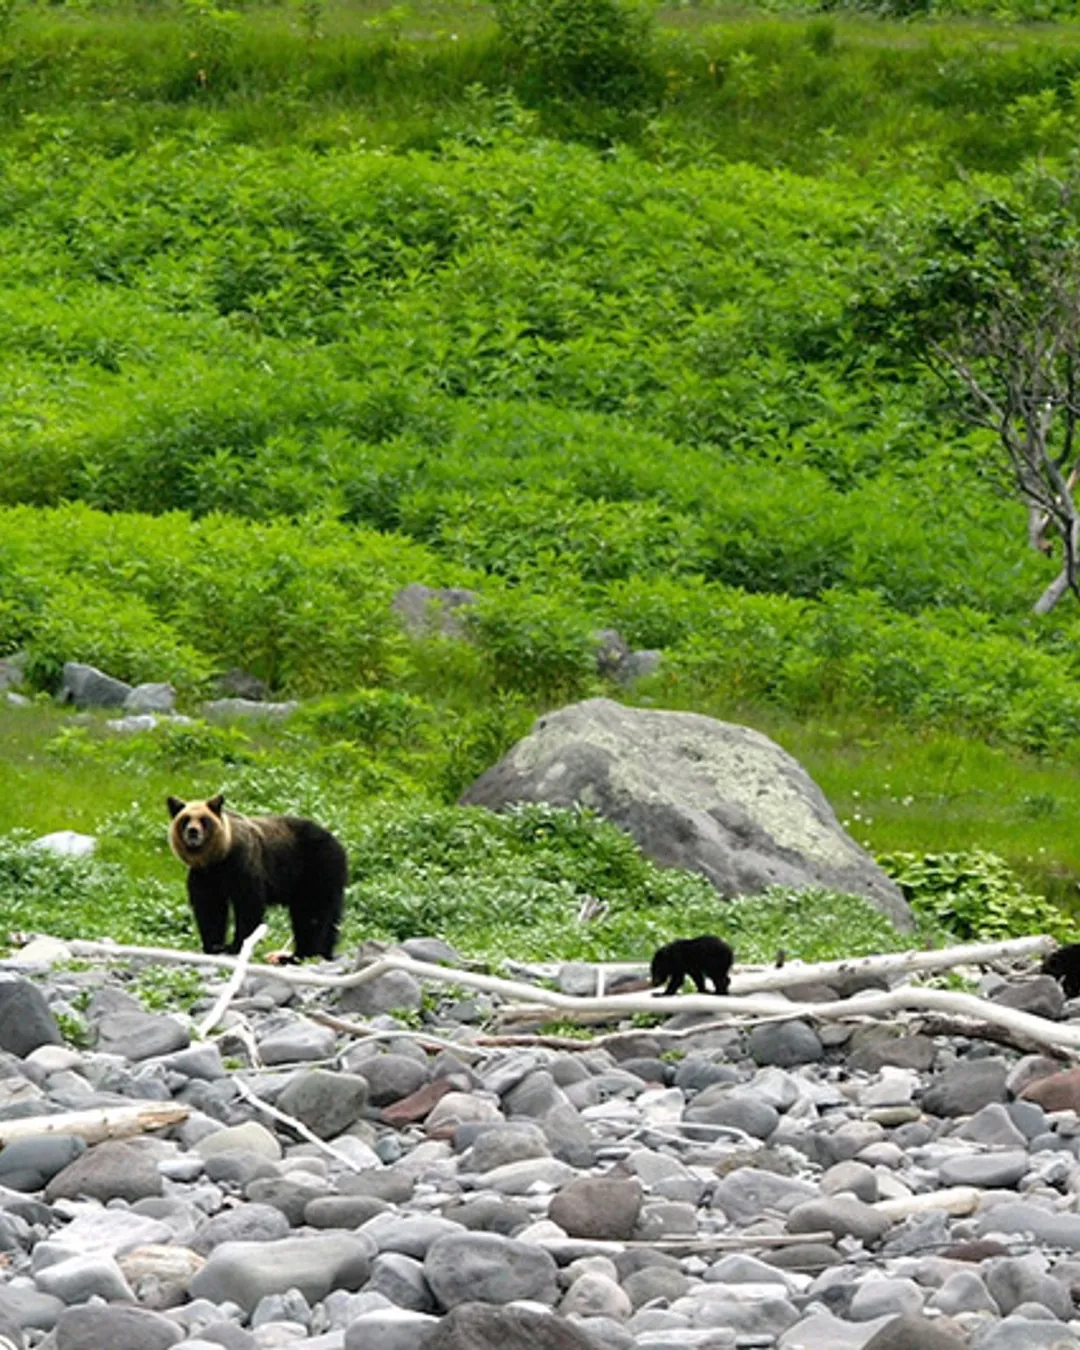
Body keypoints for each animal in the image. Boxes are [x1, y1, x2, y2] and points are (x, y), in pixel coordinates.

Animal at [166, 788, 348, 961]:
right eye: (185, 819)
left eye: (204, 820)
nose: (193, 832)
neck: (219, 858)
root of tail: (338, 844)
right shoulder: (204, 876)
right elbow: (209, 907)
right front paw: (214, 945)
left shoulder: (242, 865)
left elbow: (248, 904)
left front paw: (235, 945)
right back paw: (320, 953)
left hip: (315, 868)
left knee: (312, 912)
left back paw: (300, 955)